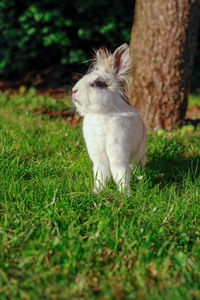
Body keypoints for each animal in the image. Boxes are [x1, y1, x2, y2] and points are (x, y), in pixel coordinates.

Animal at [72, 42, 147, 192]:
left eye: (98, 83)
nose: (74, 91)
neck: (101, 114)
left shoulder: (118, 154)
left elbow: (120, 173)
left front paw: (125, 193)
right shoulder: (98, 156)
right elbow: (101, 174)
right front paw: (97, 191)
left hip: (139, 151)